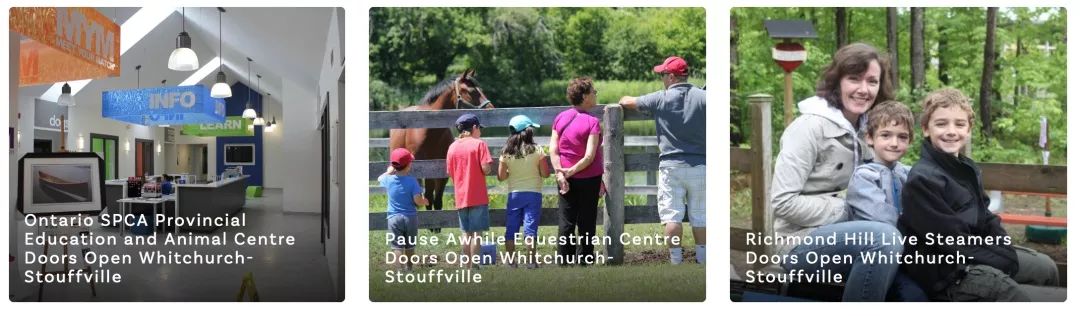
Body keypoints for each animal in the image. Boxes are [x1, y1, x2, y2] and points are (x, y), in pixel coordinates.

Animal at [388, 69, 494, 217]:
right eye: (471, 91)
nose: (491, 108)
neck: (431, 132)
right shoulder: (421, 170)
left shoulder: (441, 173)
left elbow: (437, 201)